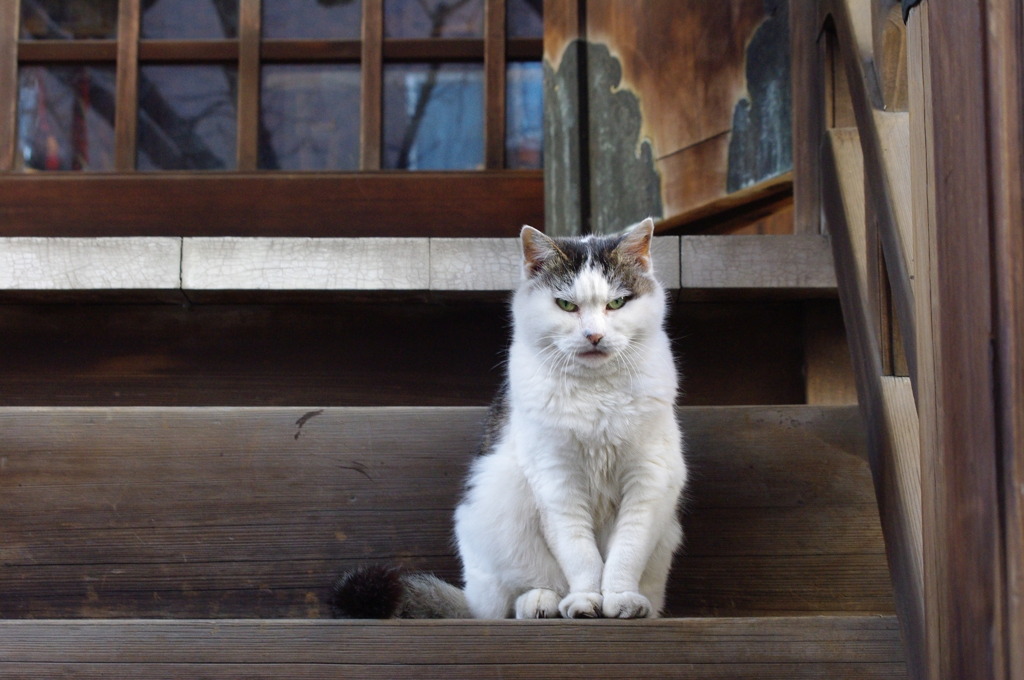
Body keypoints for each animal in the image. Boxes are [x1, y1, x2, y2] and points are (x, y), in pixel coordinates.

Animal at [333, 220, 688, 618]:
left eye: (616, 303)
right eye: (566, 305)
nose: (593, 335)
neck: (595, 391)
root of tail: (469, 599)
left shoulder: (648, 478)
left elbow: (627, 551)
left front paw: (621, 598)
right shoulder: (556, 479)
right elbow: (579, 553)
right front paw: (585, 600)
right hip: (497, 505)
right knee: (513, 599)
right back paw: (543, 603)